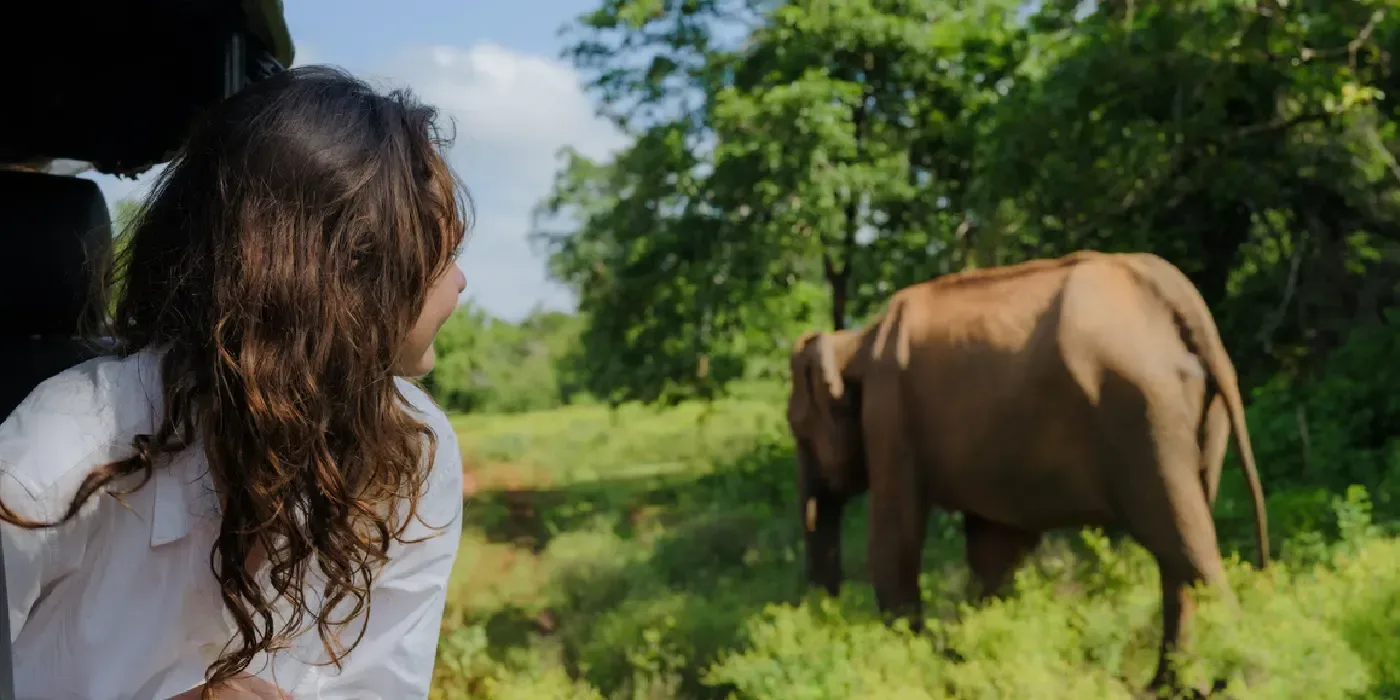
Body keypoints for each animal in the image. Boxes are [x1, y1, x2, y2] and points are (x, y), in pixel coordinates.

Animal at [786, 250, 1269, 694]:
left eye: (797, 428)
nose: (824, 618)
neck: (856, 341)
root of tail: (1175, 294)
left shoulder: (889, 416)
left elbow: (895, 538)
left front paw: (925, 670)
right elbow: (994, 549)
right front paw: (973, 663)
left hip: (1142, 411)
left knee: (1182, 541)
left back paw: (1247, 680)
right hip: (1196, 411)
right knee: (1180, 546)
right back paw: (1173, 687)